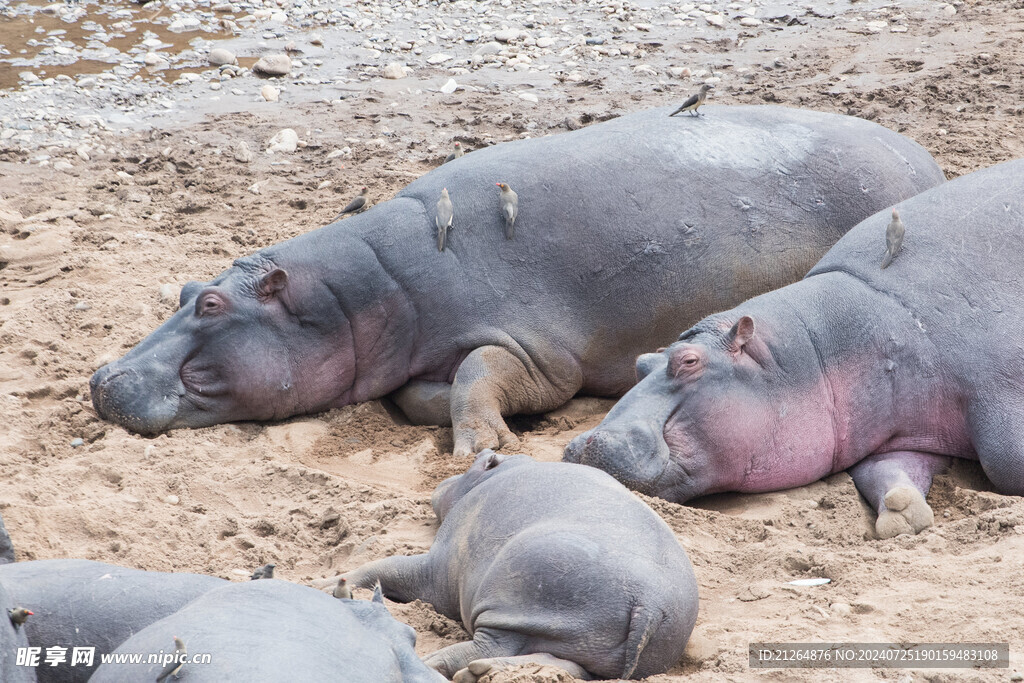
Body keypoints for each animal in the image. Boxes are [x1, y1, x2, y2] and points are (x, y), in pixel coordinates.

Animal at [90, 105, 942, 458]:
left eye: (210, 304)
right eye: (183, 289)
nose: (102, 375)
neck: (356, 291)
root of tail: (925, 158)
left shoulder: (535, 351)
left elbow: (478, 370)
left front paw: (486, 442)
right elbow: (419, 391)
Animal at [342, 450, 696, 679]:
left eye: (481, 458)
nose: (447, 477)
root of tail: (650, 602)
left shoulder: (439, 566)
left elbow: (386, 567)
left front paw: (335, 584)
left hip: (515, 601)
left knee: (487, 647)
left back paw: (440, 664)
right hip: (591, 643)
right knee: (565, 666)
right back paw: (479, 673)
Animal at [565, 158, 1024, 540]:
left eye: (689, 361)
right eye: (641, 363)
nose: (583, 443)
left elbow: (1007, 461)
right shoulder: (902, 429)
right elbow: (884, 470)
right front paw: (901, 512)